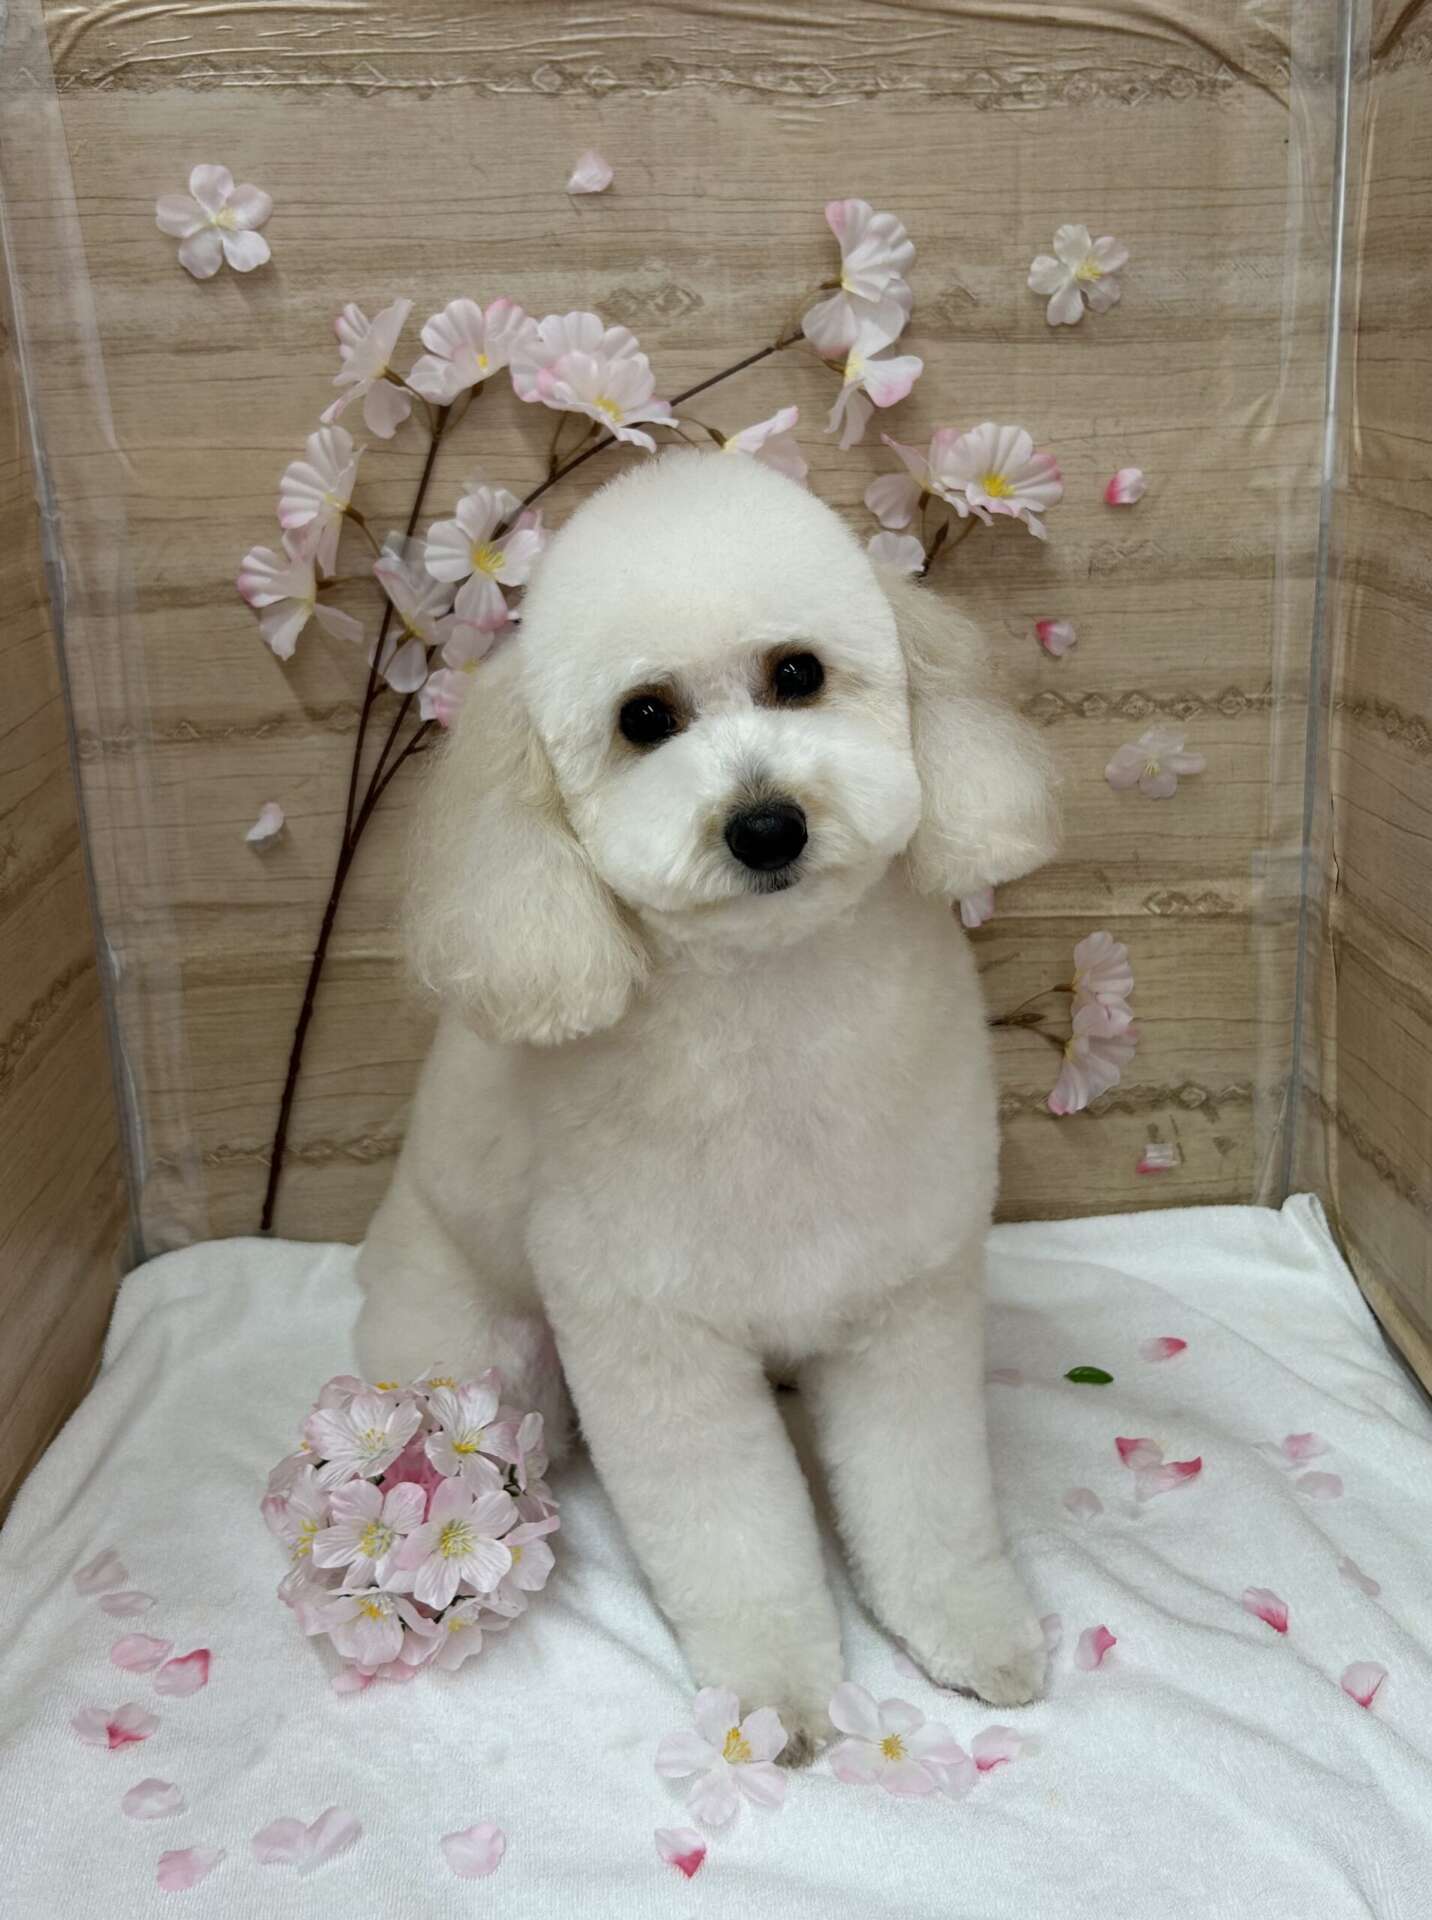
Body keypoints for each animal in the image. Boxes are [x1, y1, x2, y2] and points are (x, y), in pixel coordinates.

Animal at [356, 449, 1060, 1759]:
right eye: (645, 718)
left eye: (798, 674)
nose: (766, 824)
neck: (771, 1008)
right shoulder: (653, 1338)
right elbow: (731, 1532)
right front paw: (779, 1691)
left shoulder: (904, 1297)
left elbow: (924, 1493)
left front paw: (966, 1625)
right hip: (467, 1352)